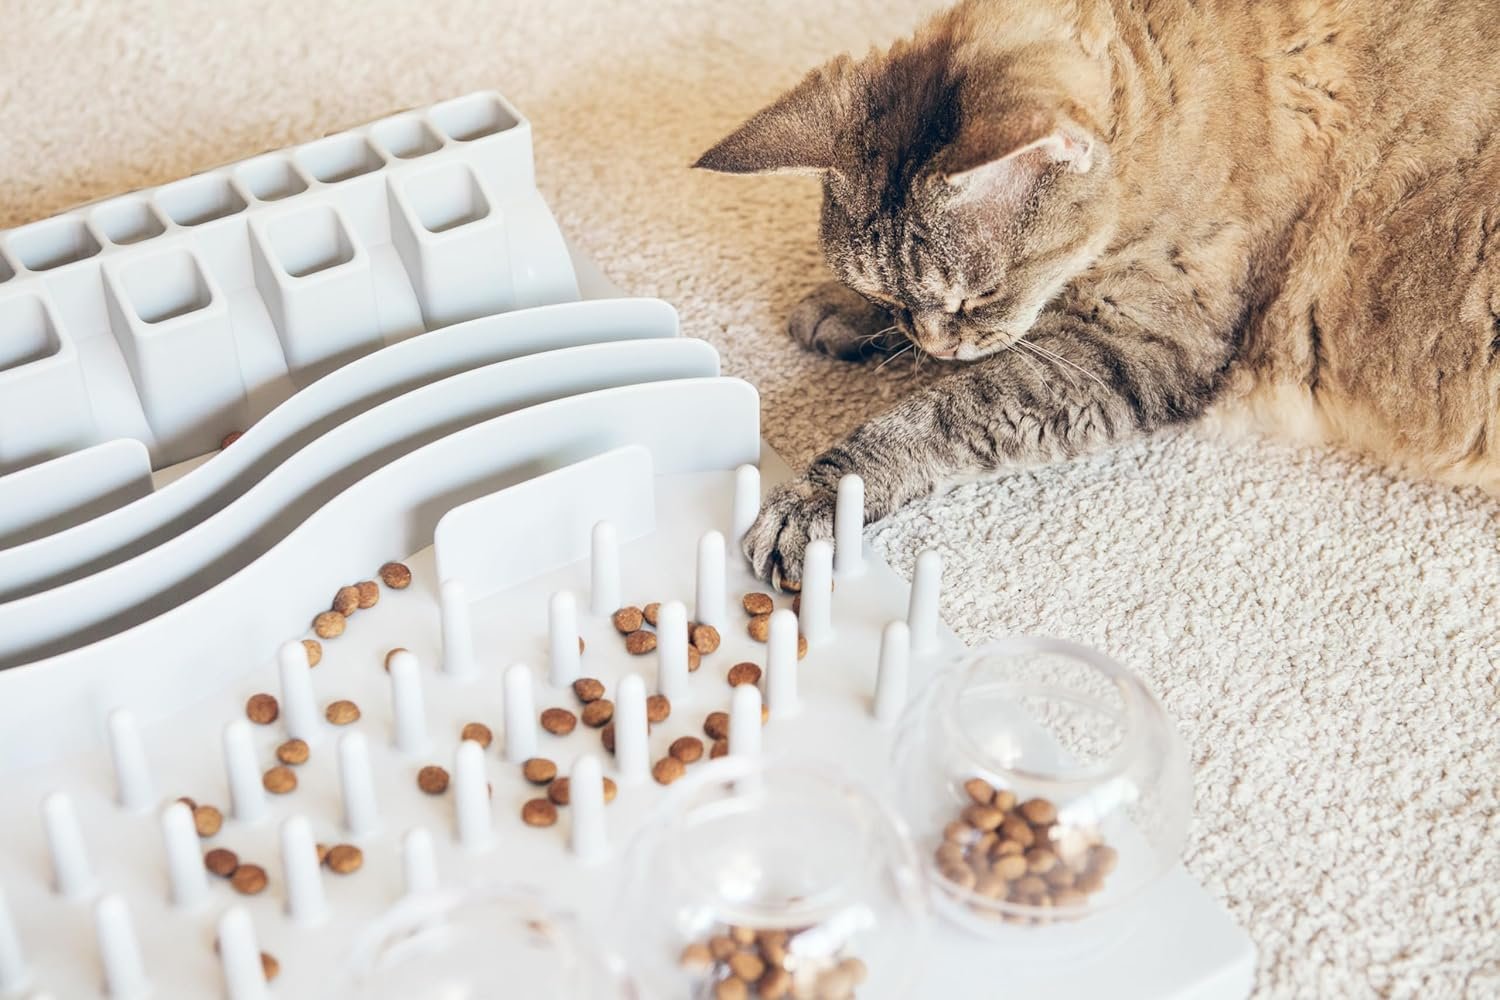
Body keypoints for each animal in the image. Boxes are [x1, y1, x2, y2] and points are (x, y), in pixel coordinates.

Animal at [695, 0, 1500, 588]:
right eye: (893, 297)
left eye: (977, 297)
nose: (936, 342)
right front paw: (845, 312)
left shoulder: (1129, 351)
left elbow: (939, 415)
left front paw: (816, 499)